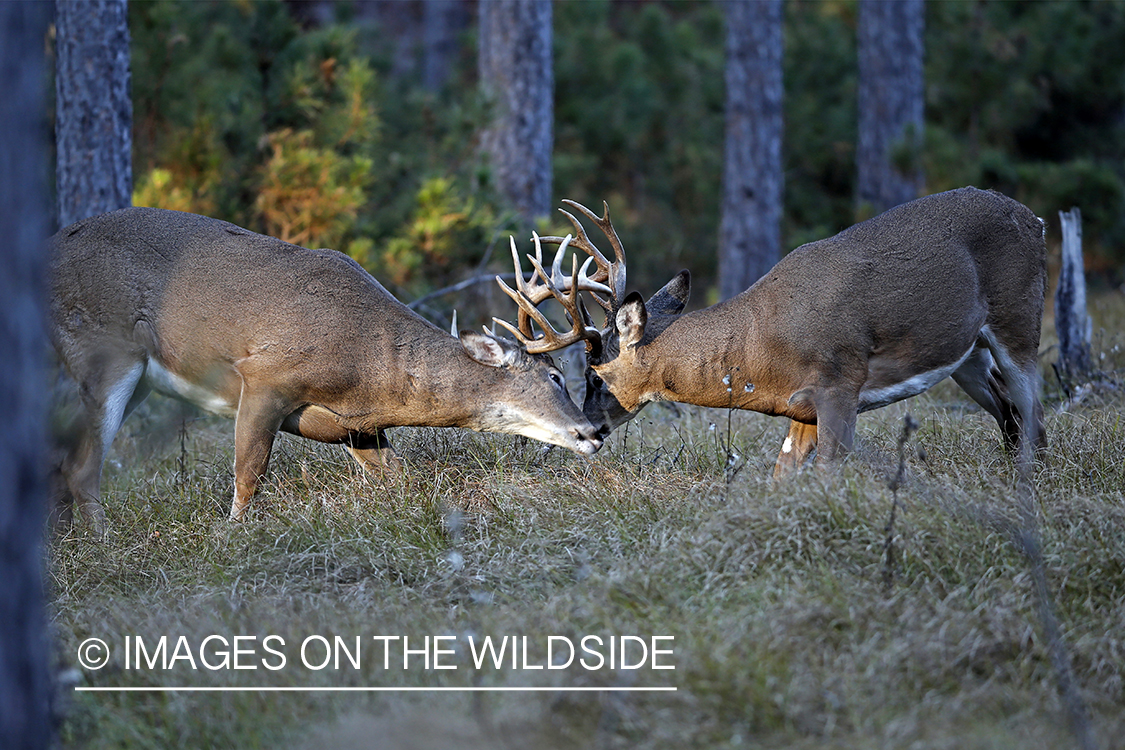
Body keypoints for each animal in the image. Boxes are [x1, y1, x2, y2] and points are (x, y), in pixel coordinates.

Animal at [48, 208, 603, 530]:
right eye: (556, 376)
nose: (593, 432)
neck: (370, 367)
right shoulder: (264, 377)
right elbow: (248, 475)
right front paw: (232, 539)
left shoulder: (359, 427)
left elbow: (400, 478)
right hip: (103, 350)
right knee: (81, 468)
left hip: (135, 376)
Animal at [526, 191, 1044, 479]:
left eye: (594, 375)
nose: (591, 429)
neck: (762, 350)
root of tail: (1035, 218)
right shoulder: (804, 409)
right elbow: (782, 476)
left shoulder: (840, 385)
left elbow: (827, 475)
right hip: (967, 354)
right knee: (1010, 414)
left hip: (1021, 318)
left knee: (1033, 416)